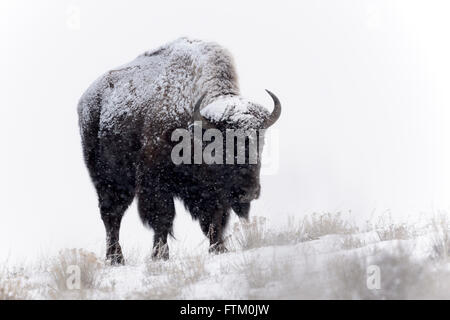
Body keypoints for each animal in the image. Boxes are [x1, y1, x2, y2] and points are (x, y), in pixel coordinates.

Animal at [78, 37, 282, 264]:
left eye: (261, 141)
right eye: (222, 146)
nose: (249, 191)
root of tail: (86, 101)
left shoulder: (210, 191)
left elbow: (214, 218)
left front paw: (219, 249)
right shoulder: (156, 181)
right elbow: (162, 217)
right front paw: (160, 255)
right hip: (109, 179)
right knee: (111, 215)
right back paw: (115, 258)